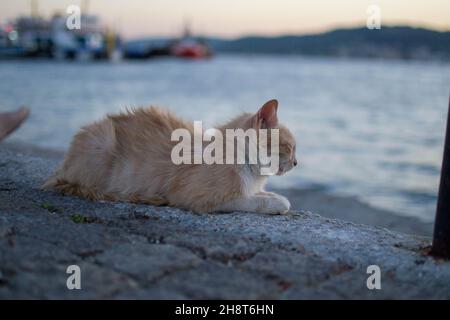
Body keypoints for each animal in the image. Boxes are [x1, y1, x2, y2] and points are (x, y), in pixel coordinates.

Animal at [44, 100, 298, 214]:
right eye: (289, 146)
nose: (296, 163)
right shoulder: (198, 197)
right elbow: (253, 200)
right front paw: (278, 203)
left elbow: (260, 194)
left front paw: (273, 194)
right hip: (103, 143)